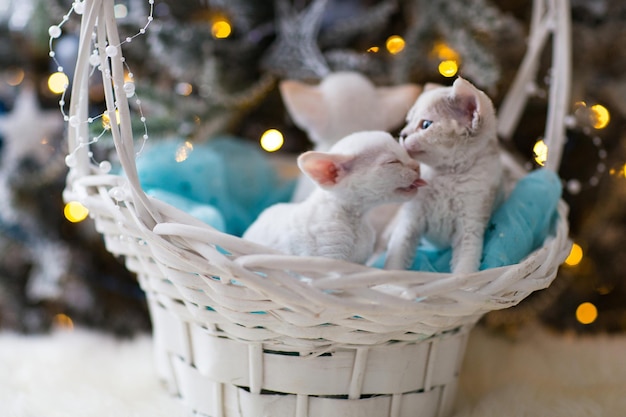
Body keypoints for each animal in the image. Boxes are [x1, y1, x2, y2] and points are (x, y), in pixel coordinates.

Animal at [386, 77, 502, 272]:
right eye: (408, 121)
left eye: (425, 125)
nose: (402, 134)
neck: (447, 176)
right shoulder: (410, 221)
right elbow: (397, 257)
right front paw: (390, 277)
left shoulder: (471, 225)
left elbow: (465, 268)